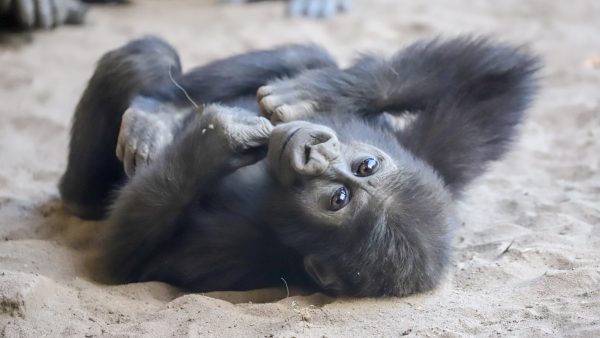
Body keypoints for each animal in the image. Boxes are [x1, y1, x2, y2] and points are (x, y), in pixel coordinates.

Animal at [59, 35, 540, 298]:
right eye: (366, 165)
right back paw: (157, 109)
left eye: (338, 199)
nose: (315, 155)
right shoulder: (427, 154)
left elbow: (124, 262)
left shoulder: (232, 251)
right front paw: (316, 91)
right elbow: (501, 77)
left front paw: (217, 141)